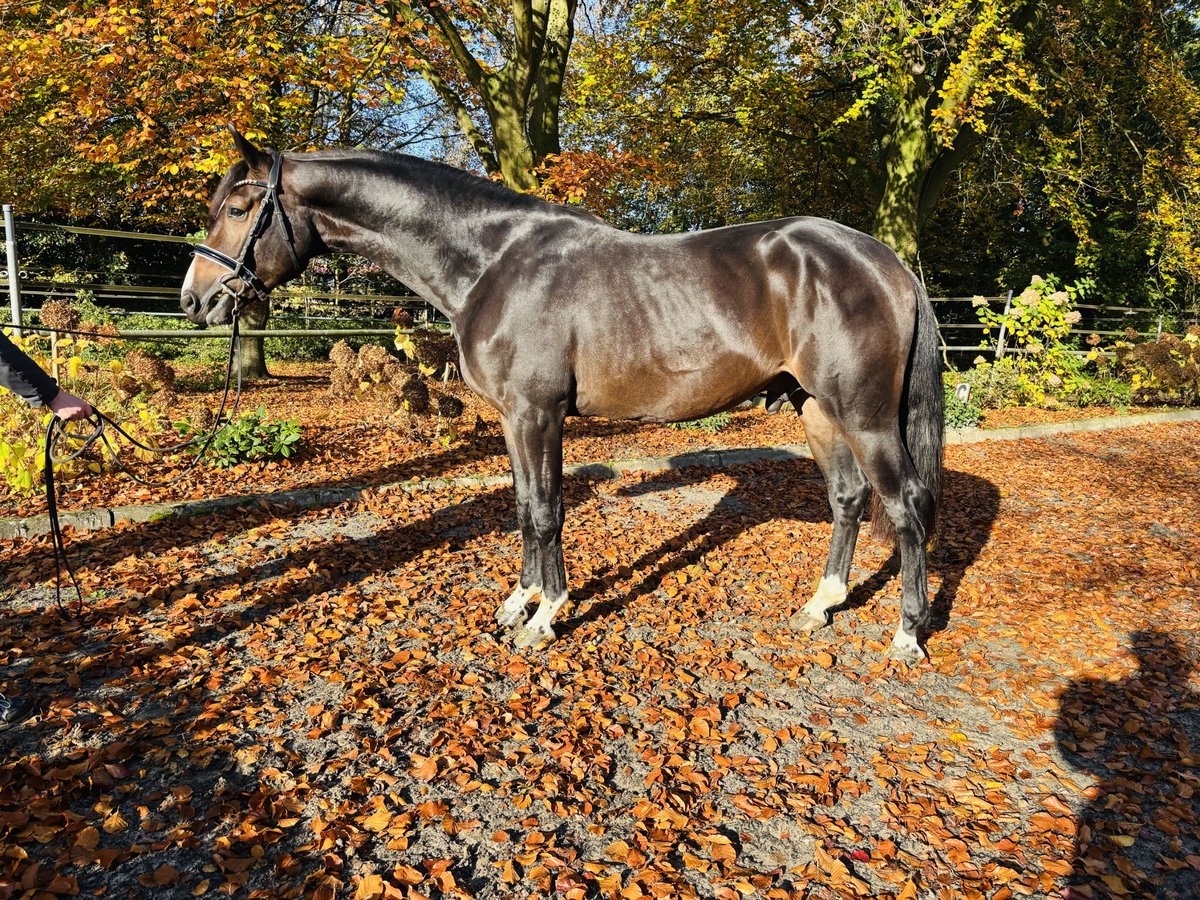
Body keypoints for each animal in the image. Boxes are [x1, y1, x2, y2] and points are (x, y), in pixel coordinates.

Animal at [180, 125, 945, 662]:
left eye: (241, 207)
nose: (196, 300)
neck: (494, 262)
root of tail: (884, 259)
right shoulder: (513, 420)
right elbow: (523, 508)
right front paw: (517, 603)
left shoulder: (537, 414)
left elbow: (547, 513)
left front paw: (546, 617)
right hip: (816, 409)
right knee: (848, 499)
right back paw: (822, 605)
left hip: (865, 416)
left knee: (906, 506)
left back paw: (907, 634)